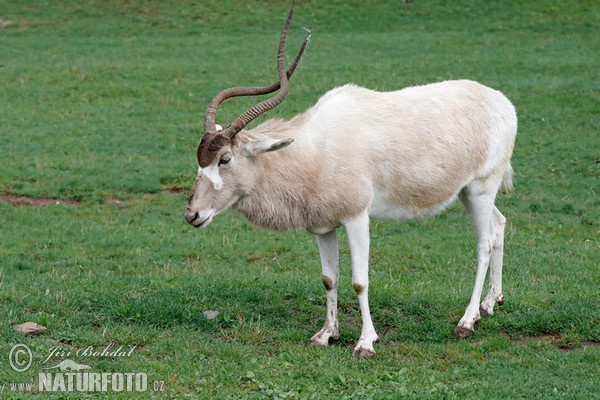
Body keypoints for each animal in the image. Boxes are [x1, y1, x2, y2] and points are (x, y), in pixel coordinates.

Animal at [186, 5, 516, 356]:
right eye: (199, 160)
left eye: (225, 159)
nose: (192, 214)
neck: (315, 150)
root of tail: (503, 103)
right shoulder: (323, 225)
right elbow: (329, 278)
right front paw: (326, 334)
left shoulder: (357, 218)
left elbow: (360, 281)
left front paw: (366, 342)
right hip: (467, 191)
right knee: (499, 224)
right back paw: (489, 304)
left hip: (481, 187)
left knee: (484, 243)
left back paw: (466, 322)